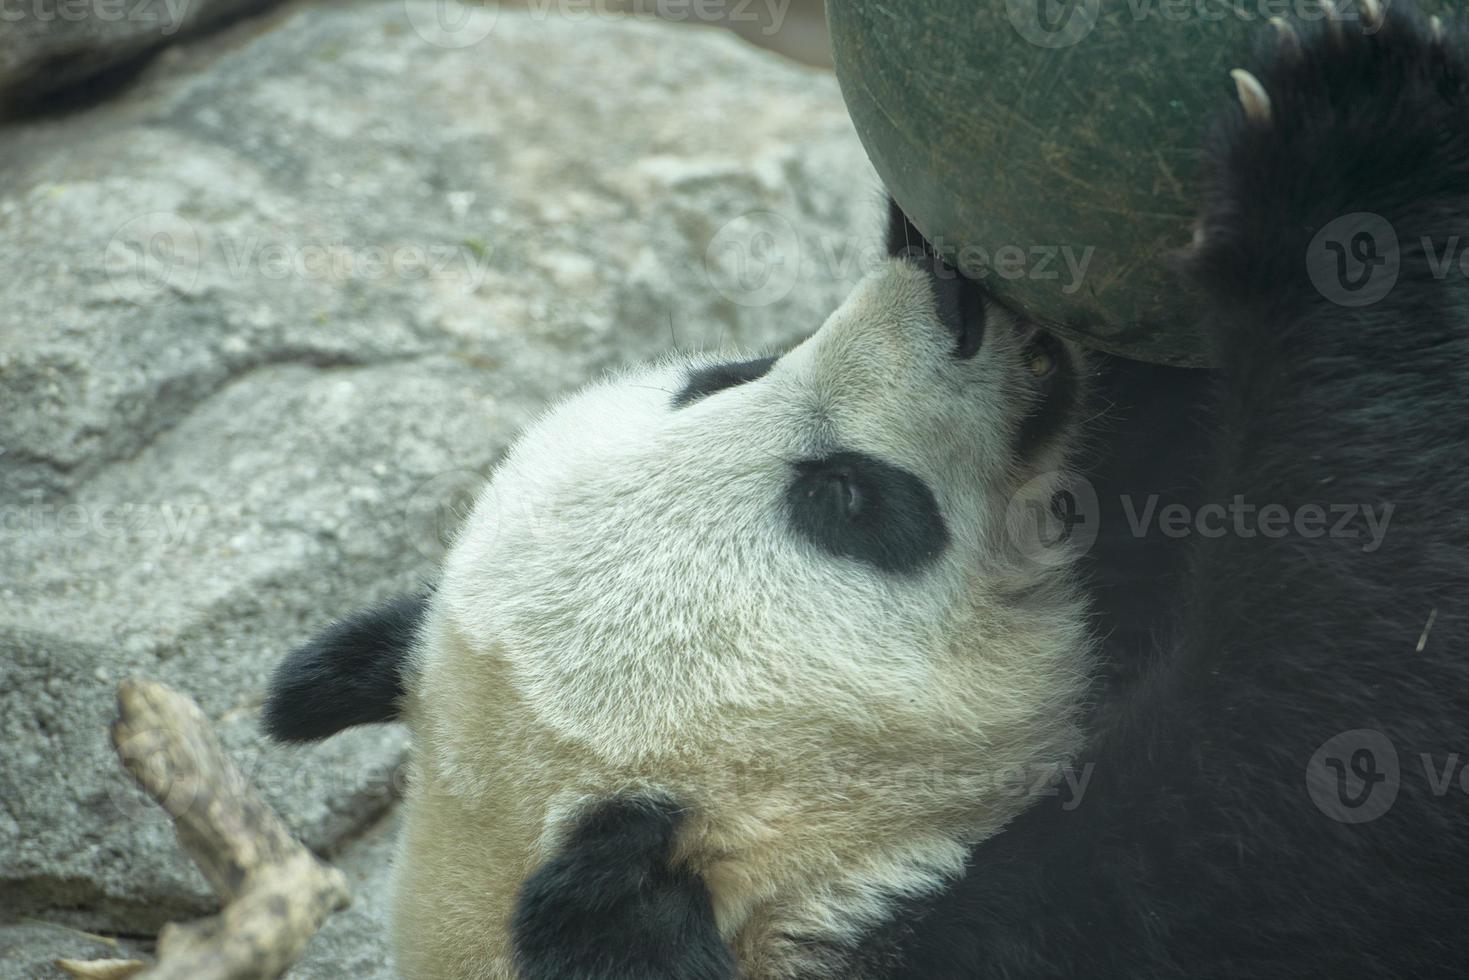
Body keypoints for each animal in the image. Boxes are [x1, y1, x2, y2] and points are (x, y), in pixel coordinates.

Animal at [264, 3, 1469, 975]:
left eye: (721, 373)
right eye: (848, 502)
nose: (955, 300)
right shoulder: (1041, 938)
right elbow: (1324, 755)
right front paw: (1346, 152)